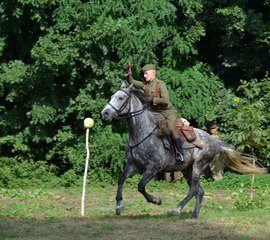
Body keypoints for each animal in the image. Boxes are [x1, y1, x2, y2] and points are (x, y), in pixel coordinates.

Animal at [101, 83, 268, 218]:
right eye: (112, 96)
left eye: (121, 97)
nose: (105, 113)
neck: (141, 133)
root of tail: (213, 140)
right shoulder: (134, 165)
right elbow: (121, 179)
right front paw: (119, 207)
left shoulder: (153, 168)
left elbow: (141, 186)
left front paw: (156, 200)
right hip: (187, 169)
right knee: (199, 191)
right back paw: (194, 216)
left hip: (198, 166)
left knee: (194, 190)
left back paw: (176, 210)